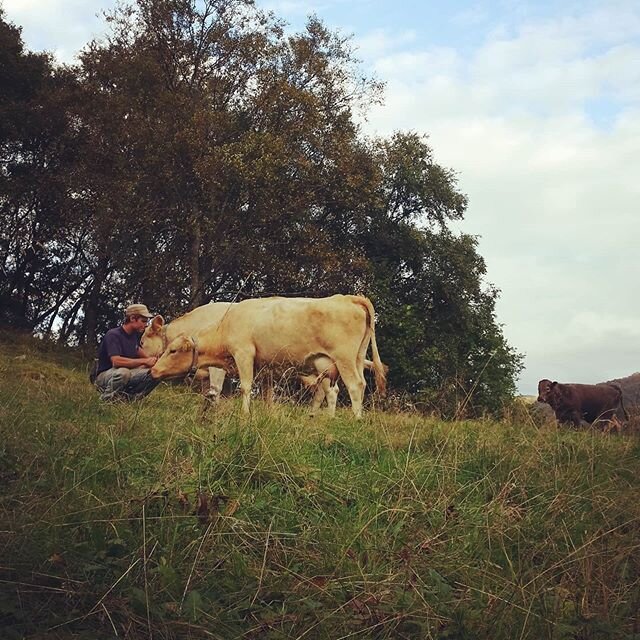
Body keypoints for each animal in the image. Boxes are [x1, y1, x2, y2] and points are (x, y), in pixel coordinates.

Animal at [151, 296, 384, 420]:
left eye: (173, 351)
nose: (153, 370)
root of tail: (347, 297)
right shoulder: (265, 366)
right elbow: (267, 394)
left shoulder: (244, 352)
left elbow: (245, 387)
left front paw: (245, 414)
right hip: (351, 358)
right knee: (348, 387)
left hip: (344, 358)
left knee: (355, 385)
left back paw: (356, 419)